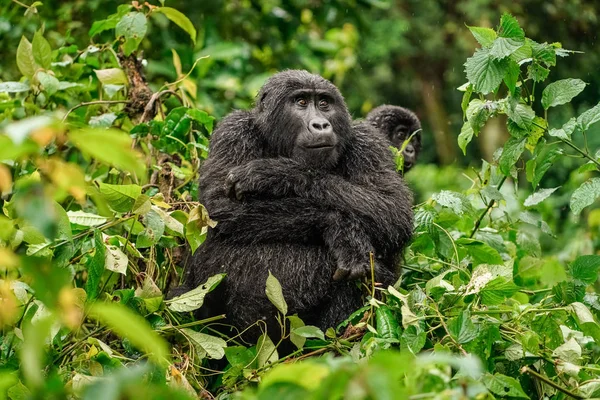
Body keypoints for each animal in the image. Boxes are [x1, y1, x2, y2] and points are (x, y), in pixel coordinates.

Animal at [176, 70, 414, 340]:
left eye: (324, 103)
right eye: (301, 102)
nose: (321, 124)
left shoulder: (369, 141)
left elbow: (392, 210)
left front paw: (276, 173)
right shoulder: (232, 131)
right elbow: (220, 206)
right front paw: (339, 227)